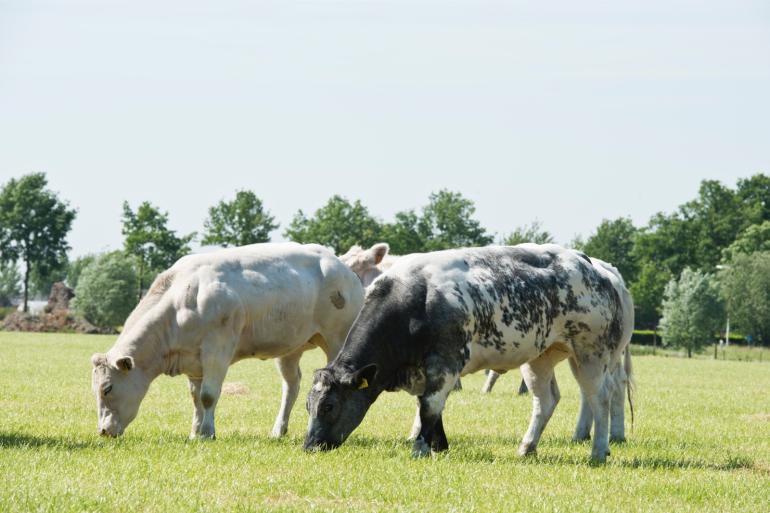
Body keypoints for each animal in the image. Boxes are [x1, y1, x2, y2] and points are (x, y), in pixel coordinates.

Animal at [88, 242, 364, 438]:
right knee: (291, 385)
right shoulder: (192, 360)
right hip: (290, 347)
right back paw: (278, 430)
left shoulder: (217, 349)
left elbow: (208, 395)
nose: (102, 431)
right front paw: (195, 432)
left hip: (338, 338)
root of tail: (342, 267)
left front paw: (208, 433)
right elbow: (195, 397)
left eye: (107, 388)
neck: (180, 303)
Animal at [304, 243, 632, 460]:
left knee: (600, 398)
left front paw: (421, 449)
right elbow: (428, 408)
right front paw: (439, 445)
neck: (414, 298)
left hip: (592, 353)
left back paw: (598, 451)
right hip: (540, 358)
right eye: (308, 406)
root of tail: (591, 265)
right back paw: (527, 447)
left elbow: (429, 406)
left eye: (329, 406)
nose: (310, 446)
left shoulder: (445, 363)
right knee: (546, 400)